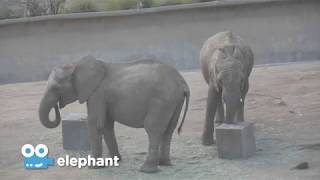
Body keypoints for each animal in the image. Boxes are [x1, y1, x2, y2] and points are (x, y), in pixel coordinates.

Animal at [38, 55, 189, 172]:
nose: (57, 105)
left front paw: (94, 167)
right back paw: (164, 164)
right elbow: (106, 125)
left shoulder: (97, 94)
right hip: (175, 101)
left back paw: (147, 170)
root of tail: (182, 82)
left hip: (161, 101)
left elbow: (95, 124)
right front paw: (113, 161)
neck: (76, 64)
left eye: (56, 88)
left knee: (153, 129)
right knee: (169, 130)